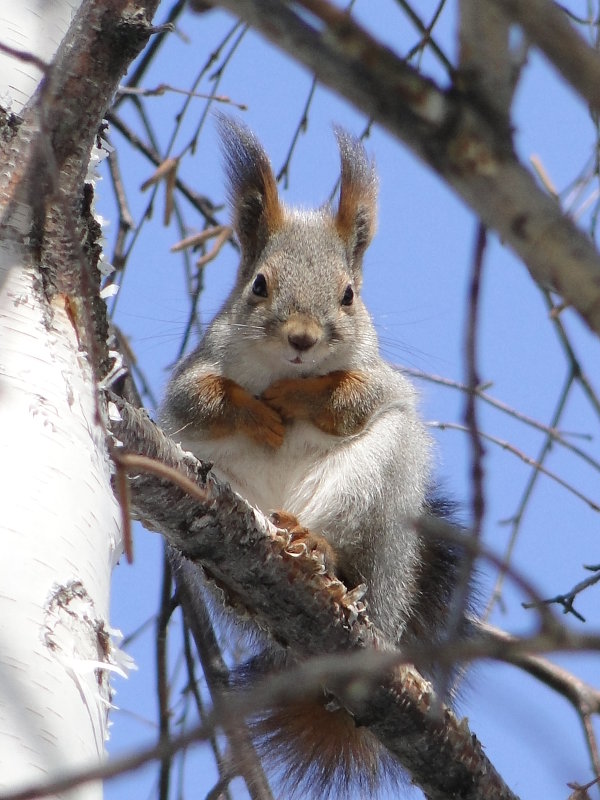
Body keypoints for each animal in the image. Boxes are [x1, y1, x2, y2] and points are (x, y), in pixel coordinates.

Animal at [162, 119, 466, 800]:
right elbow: (202, 399)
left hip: (377, 484)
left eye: (349, 296)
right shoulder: (191, 378)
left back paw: (319, 548)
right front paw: (257, 411)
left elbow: (354, 398)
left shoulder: (378, 379)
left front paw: (300, 398)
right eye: (258, 285)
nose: (301, 339)